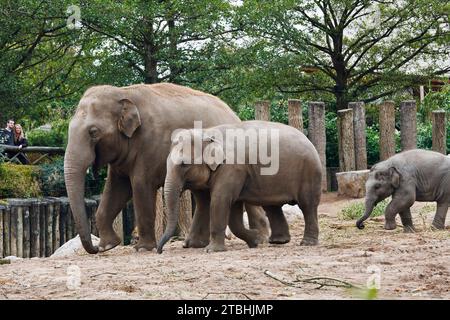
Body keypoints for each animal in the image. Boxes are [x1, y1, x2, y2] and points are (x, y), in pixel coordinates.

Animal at [62, 84, 274, 254]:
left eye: (93, 132)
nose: (94, 249)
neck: (123, 92)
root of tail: (234, 115)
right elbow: (116, 189)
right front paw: (109, 245)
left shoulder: (149, 145)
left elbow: (140, 187)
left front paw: (142, 249)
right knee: (203, 195)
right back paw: (193, 244)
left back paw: (261, 238)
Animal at [156, 120, 322, 252]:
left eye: (184, 164)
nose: (159, 250)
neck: (207, 133)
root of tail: (308, 140)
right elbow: (212, 204)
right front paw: (254, 240)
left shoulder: (231, 168)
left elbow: (220, 201)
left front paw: (211, 250)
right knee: (272, 206)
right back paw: (278, 241)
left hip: (309, 172)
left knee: (307, 205)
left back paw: (307, 243)